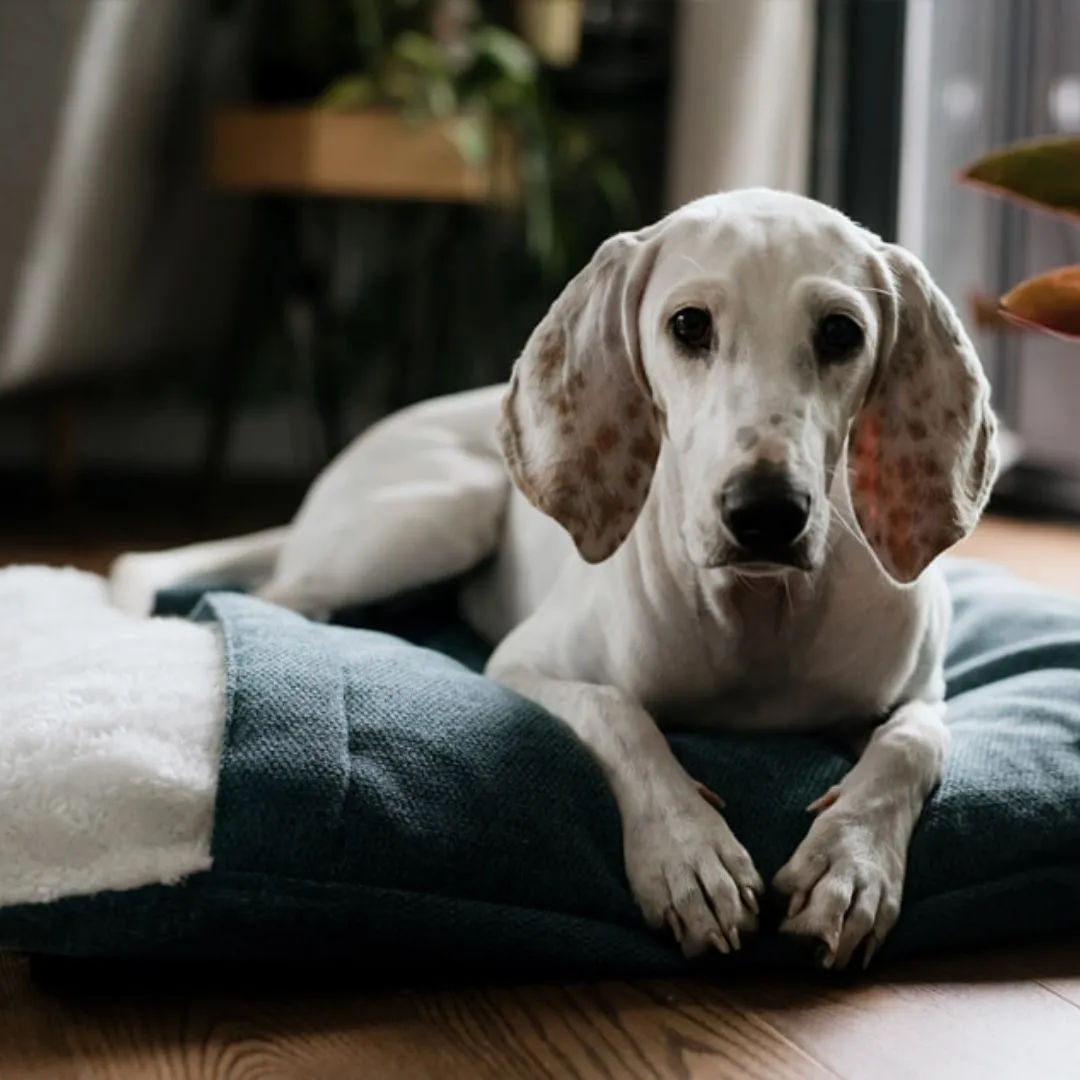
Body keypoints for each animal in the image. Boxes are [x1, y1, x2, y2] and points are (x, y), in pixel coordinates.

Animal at [109, 190, 993, 976]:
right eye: (689, 325)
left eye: (842, 332)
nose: (766, 513)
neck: (758, 615)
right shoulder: (524, 665)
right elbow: (620, 716)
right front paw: (686, 853)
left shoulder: (922, 691)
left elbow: (911, 743)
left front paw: (853, 865)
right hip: (436, 514)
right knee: (278, 601)